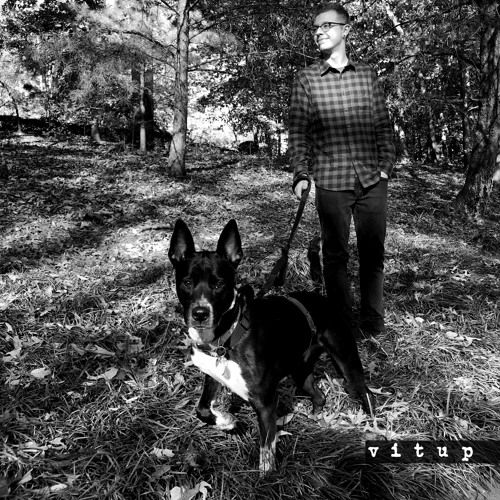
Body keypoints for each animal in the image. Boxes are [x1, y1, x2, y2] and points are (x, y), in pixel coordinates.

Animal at [168, 219, 374, 474]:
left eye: (219, 284)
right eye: (187, 282)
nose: (200, 313)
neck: (228, 337)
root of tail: (319, 296)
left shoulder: (266, 403)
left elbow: (266, 458)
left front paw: (266, 478)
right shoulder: (213, 376)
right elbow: (202, 409)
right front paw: (228, 422)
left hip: (346, 362)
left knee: (366, 395)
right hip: (300, 369)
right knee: (319, 396)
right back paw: (317, 420)